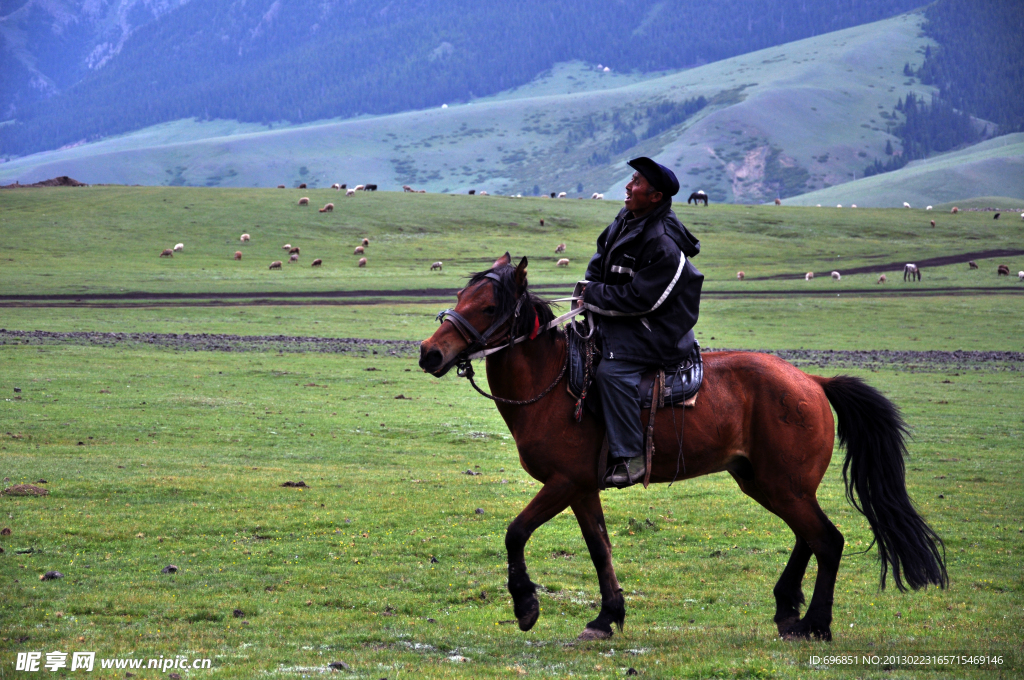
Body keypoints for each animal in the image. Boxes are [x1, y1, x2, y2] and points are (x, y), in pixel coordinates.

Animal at [415, 253, 942, 643]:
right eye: (461, 297)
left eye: (488, 307)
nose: (429, 353)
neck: (557, 384)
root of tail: (812, 381)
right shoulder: (583, 489)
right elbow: (600, 548)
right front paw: (607, 617)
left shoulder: (563, 483)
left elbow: (515, 532)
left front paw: (526, 605)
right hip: (767, 482)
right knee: (808, 537)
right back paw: (788, 609)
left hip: (784, 485)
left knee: (828, 541)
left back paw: (815, 624)